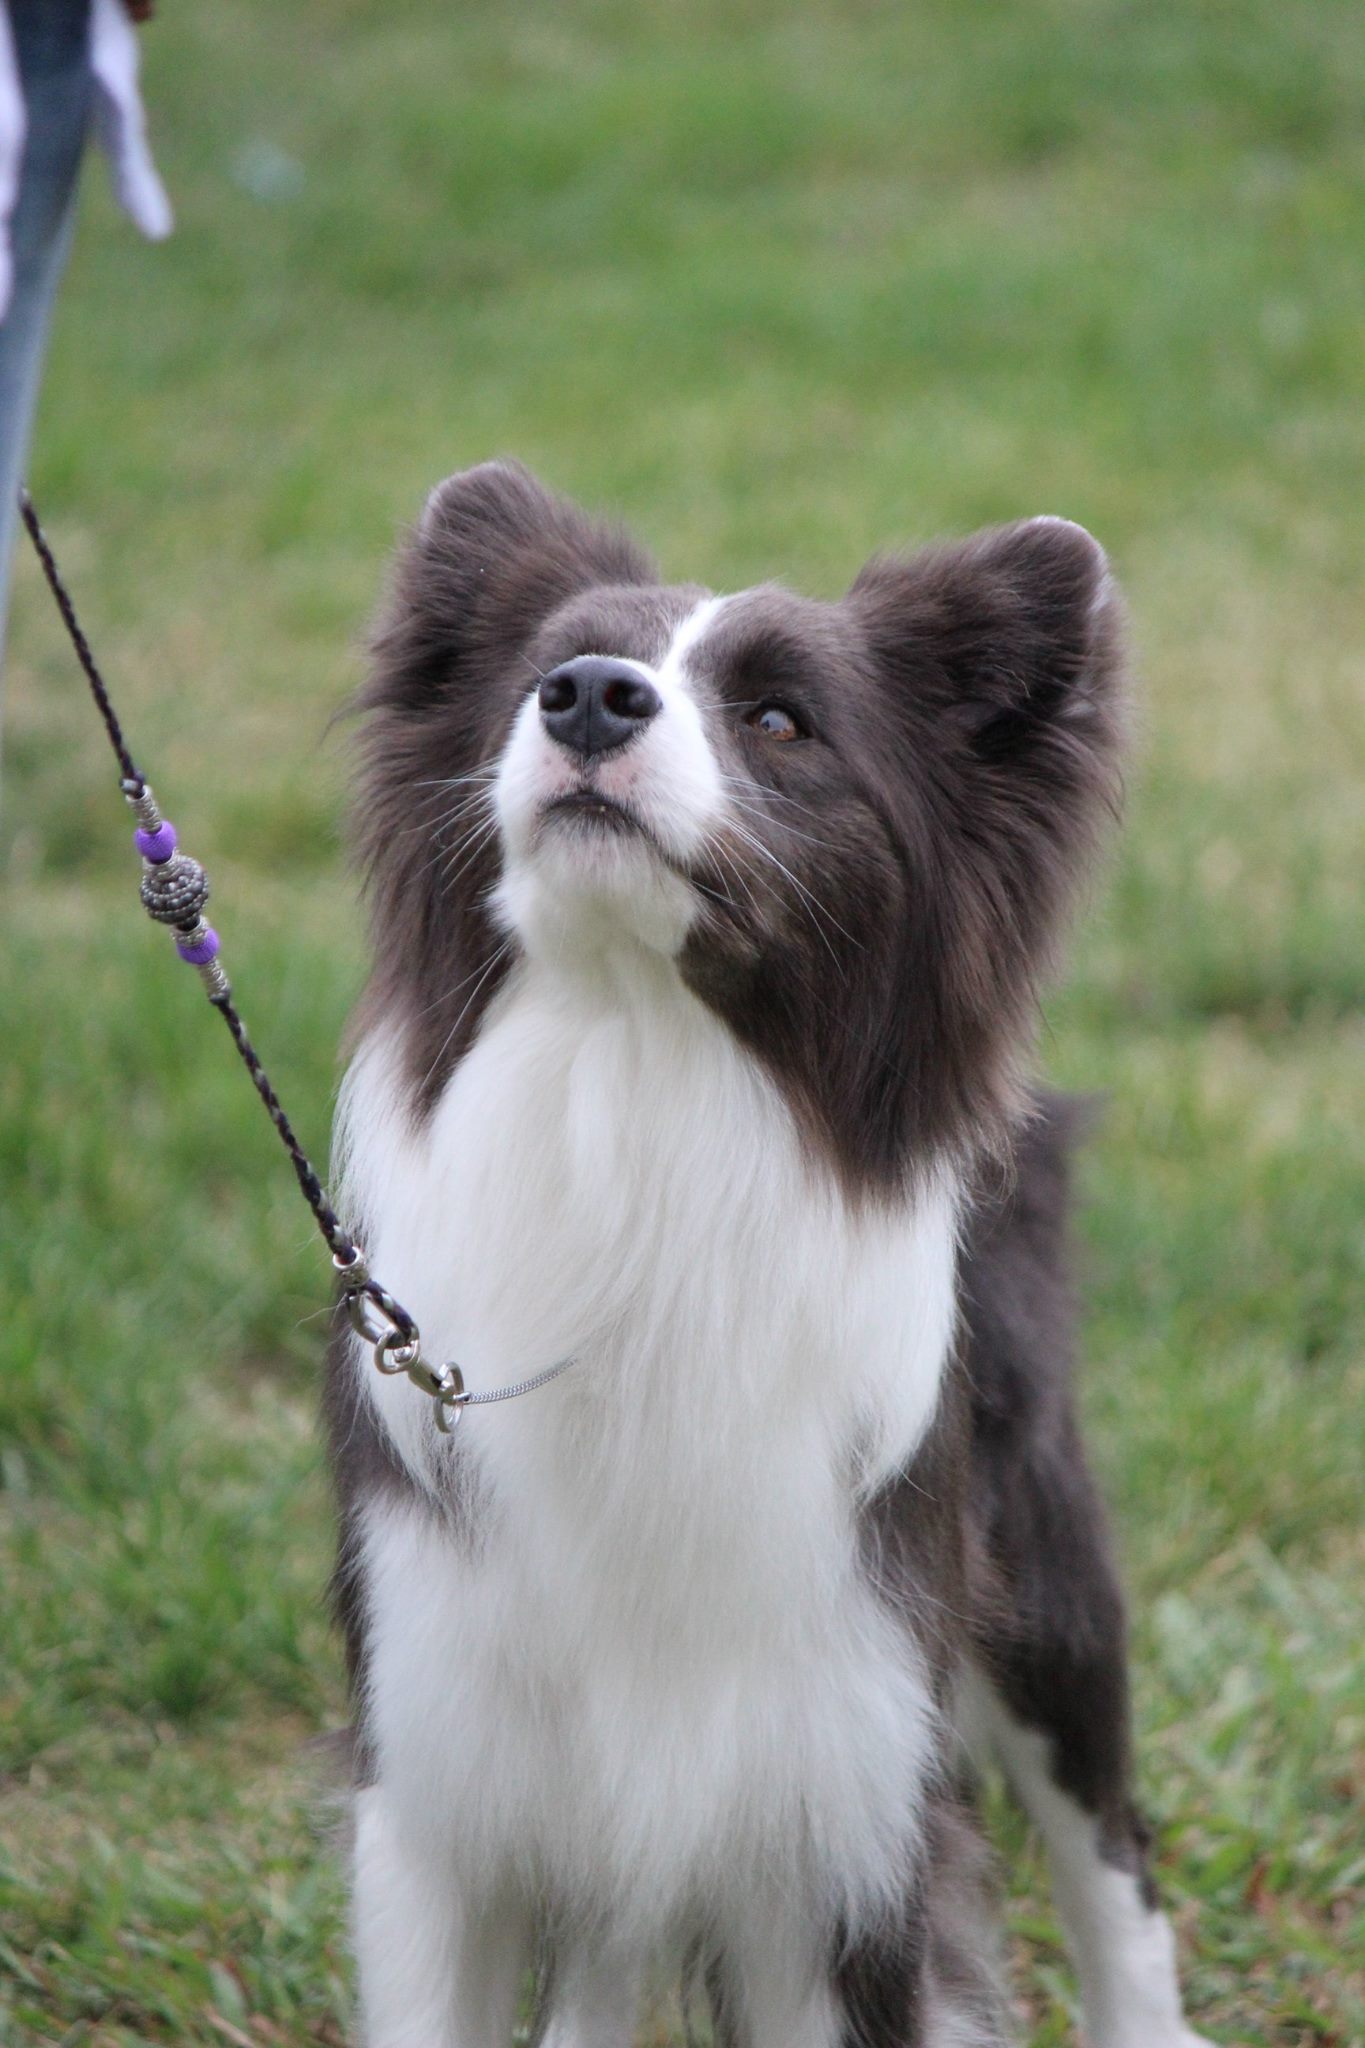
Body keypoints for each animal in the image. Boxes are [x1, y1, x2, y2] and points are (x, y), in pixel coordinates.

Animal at [325, 464, 1211, 2048]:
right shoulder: (441, 1775)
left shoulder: (832, 1813)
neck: (638, 1076)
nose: (587, 697)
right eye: (540, 674)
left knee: (1113, 1844)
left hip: (1040, 1571)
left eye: (784, 723)